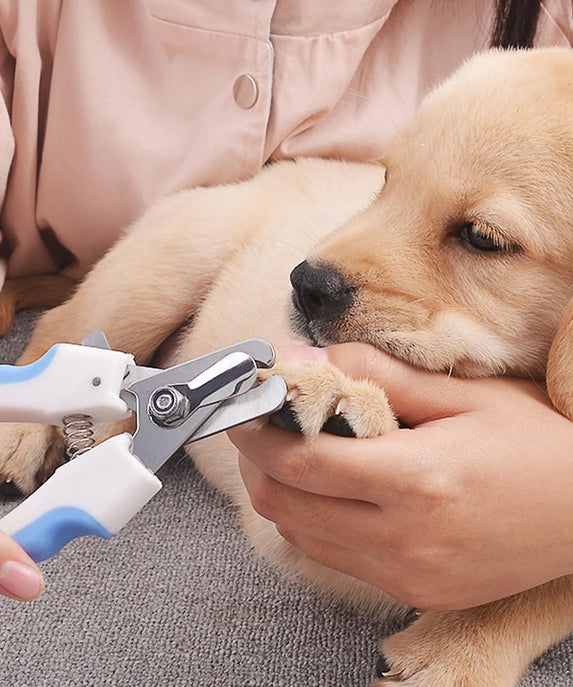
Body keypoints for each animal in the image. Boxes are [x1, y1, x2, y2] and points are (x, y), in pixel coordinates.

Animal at [3, 45, 572, 684]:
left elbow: (548, 587)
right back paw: (24, 433)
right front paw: (346, 401)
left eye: (480, 237)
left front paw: (458, 650)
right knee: (64, 330)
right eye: (386, 182)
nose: (305, 284)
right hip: (164, 265)